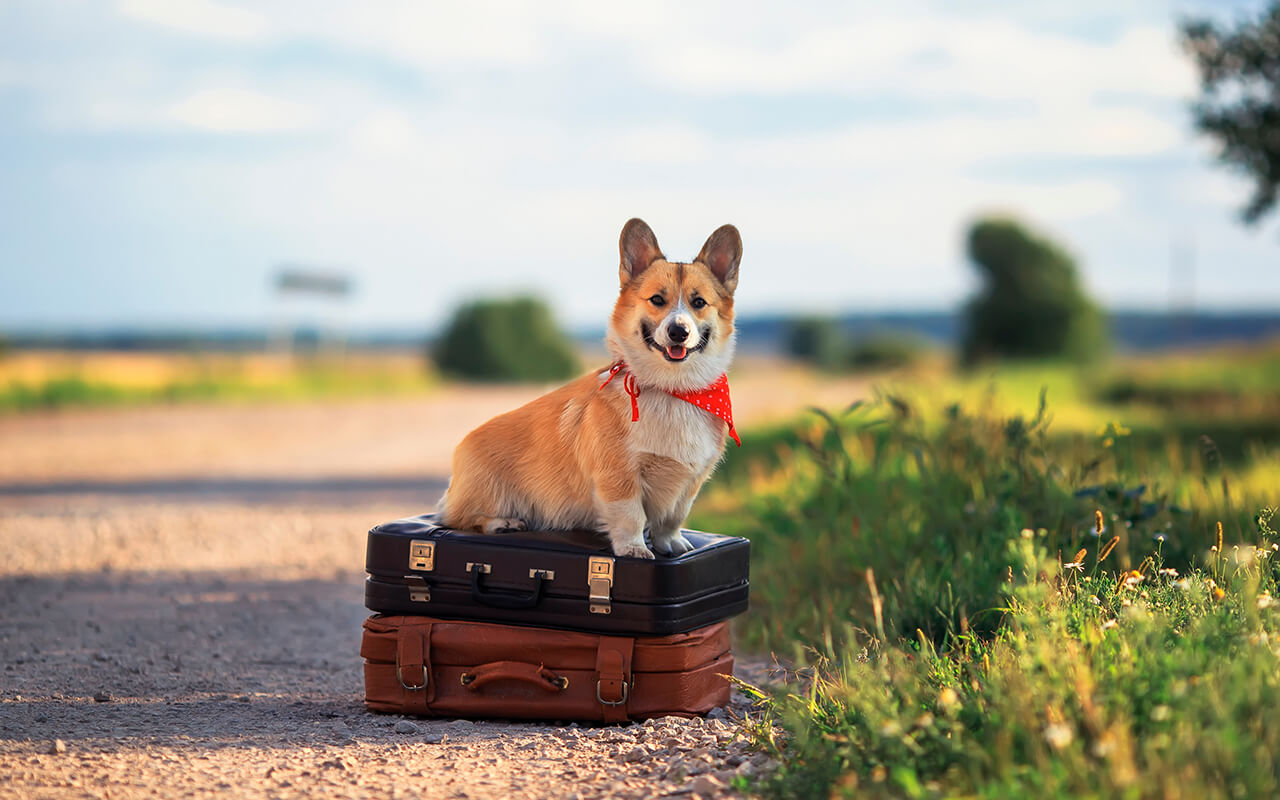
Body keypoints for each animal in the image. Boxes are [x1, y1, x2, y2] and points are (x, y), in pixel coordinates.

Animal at [437, 215, 747, 558]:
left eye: (699, 302)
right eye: (657, 300)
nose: (679, 331)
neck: (673, 389)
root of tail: (459, 453)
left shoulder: (690, 482)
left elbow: (672, 518)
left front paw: (672, 544)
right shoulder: (619, 475)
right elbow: (631, 516)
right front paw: (634, 548)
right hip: (487, 494)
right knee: (455, 518)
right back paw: (501, 523)